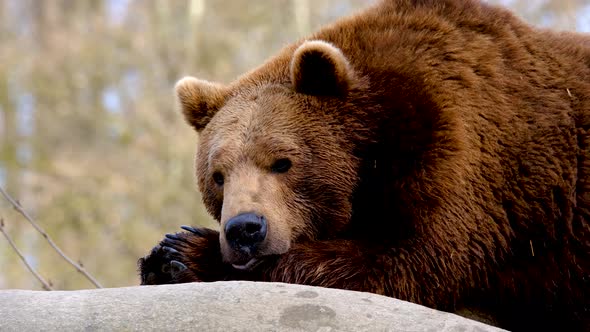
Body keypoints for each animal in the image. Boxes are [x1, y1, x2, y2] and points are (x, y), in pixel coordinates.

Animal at [140, 0, 590, 330]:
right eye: (218, 176)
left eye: (282, 162)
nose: (245, 230)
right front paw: (165, 259)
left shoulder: (467, 157)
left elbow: (409, 259)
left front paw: (184, 251)